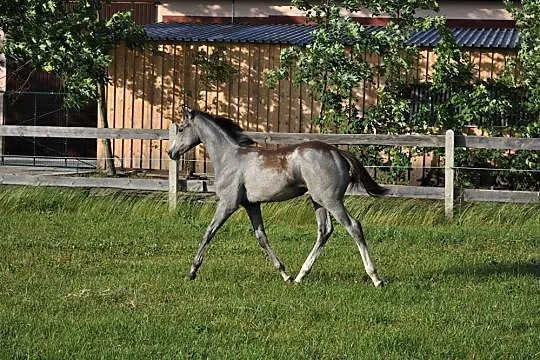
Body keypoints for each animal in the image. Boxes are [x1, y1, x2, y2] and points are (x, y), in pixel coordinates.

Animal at [169, 107, 388, 286]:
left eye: (181, 128)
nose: (171, 153)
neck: (230, 157)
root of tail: (337, 152)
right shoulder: (251, 205)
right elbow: (261, 237)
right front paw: (285, 274)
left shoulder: (228, 204)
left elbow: (209, 232)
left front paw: (192, 272)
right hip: (318, 201)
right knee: (324, 230)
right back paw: (300, 276)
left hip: (331, 201)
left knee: (353, 226)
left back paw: (376, 278)